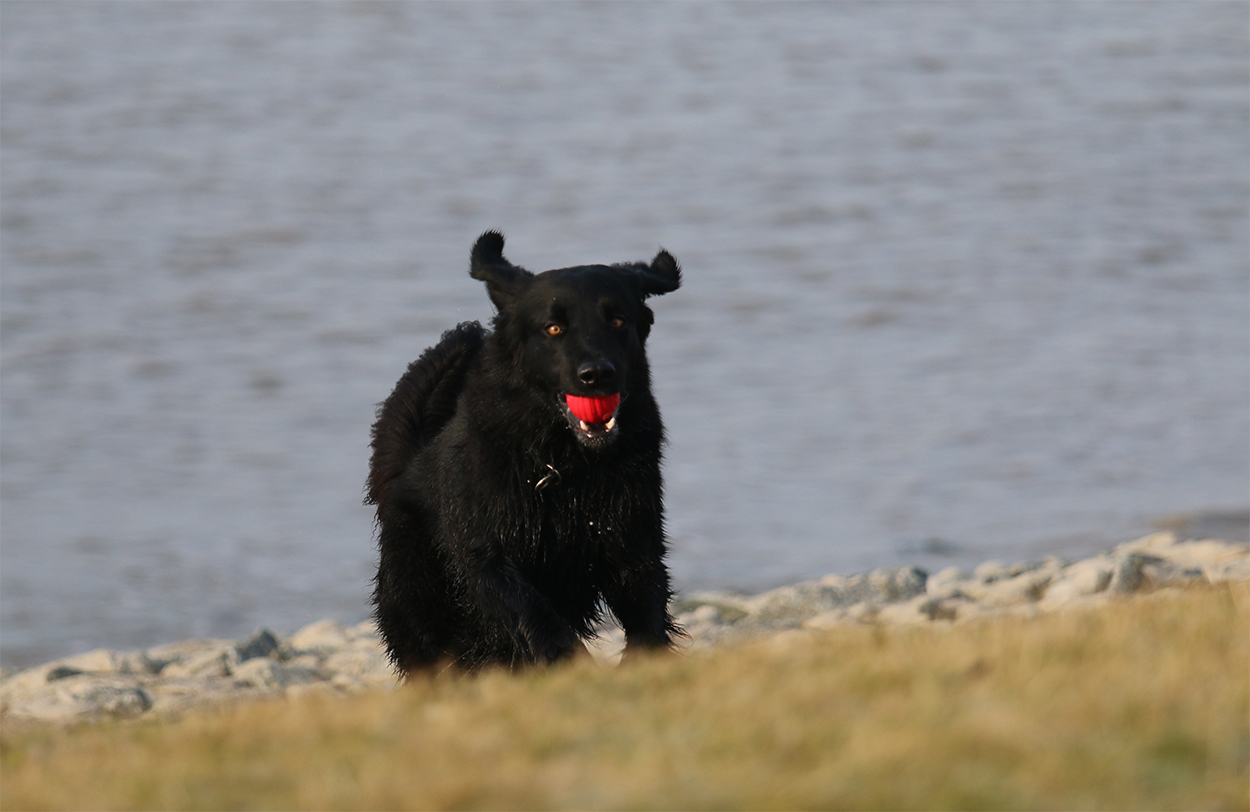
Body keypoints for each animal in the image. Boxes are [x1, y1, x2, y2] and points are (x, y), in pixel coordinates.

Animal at [367, 231, 683, 674]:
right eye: (553, 328)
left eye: (618, 321)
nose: (597, 375)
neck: (568, 464)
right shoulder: (486, 555)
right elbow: (529, 606)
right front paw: (567, 656)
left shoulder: (633, 542)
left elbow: (647, 611)